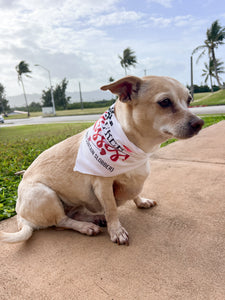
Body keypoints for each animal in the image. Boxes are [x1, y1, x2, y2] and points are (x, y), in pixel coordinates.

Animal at [0, 75, 204, 246]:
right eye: (165, 102)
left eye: (189, 100)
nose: (200, 123)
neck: (137, 149)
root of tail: (21, 216)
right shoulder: (103, 186)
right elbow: (112, 208)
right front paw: (116, 231)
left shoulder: (134, 180)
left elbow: (135, 193)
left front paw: (141, 201)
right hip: (44, 194)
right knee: (61, 222)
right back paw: (87, 227)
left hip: (72, 202)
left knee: (74, 214)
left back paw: (95, 218)